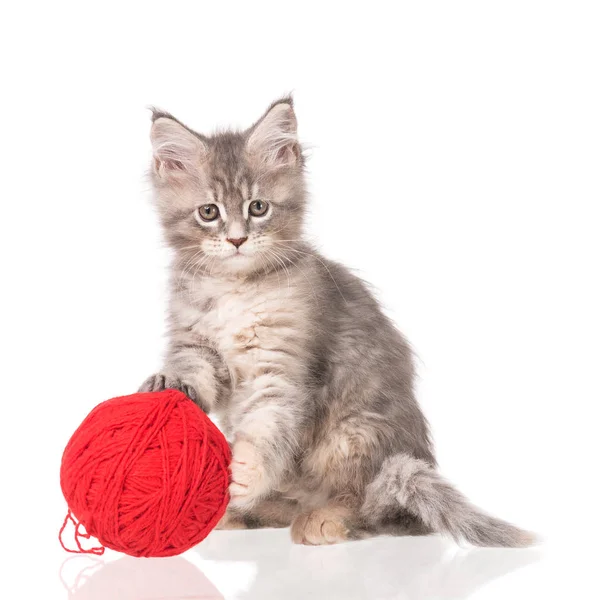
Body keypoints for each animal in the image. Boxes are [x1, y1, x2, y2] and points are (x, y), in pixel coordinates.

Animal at [140, 96, 532, 548]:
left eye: (258, 208)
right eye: (208, 212)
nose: (237, 239)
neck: (235, 288)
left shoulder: (281, 370)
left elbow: (266, 426)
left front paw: (245, 473)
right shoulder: (198, 345)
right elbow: (194, 374)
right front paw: (168, 383)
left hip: (354, 433)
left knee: (372, 508)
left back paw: (321, 520)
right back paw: (241, 513)